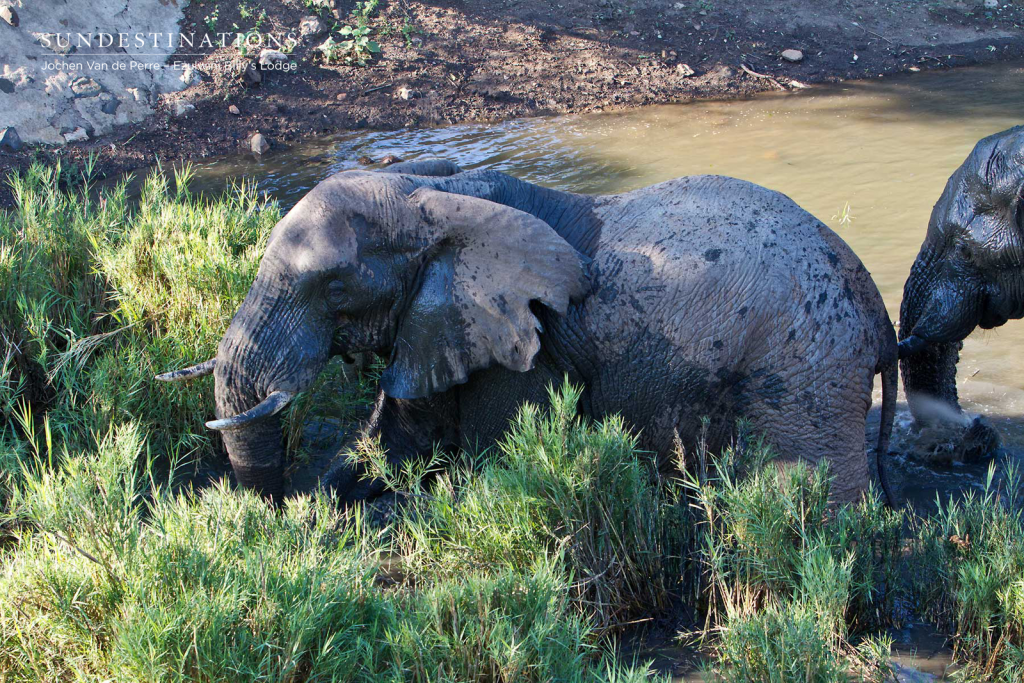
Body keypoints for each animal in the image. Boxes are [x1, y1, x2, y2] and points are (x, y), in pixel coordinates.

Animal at [157, 157, 897, 505]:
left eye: (334, 288)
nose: (268, 503)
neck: (433, 192)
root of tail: (876, 310)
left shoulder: (527, 347)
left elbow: (493, 456)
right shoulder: (440, 317)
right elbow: (391, 440)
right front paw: (319, 505)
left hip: (805, 367)